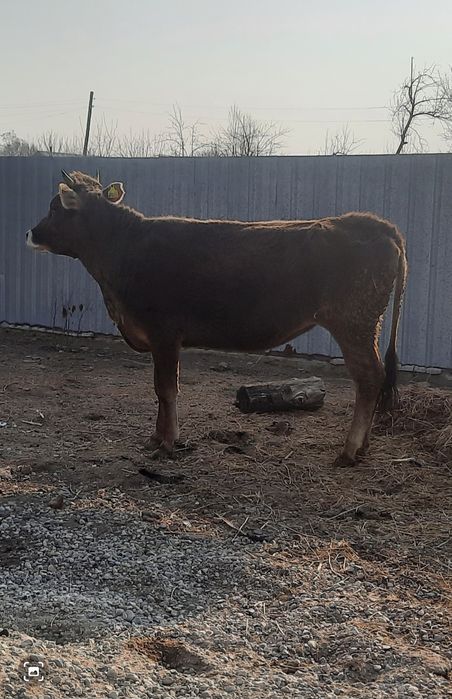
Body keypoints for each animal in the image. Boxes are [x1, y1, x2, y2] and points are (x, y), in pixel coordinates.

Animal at [26, 170, 407, 466]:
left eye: (54, 208)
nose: (30, 233)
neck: (124, 249)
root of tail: (374, 223)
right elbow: (159, 391)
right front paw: (156, 438)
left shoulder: (164, 333)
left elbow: (166, 389)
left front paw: (167, 443)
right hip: (366, 325)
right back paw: (363, 446)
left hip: (354, 323)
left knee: (369, 377)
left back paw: (350, 450)